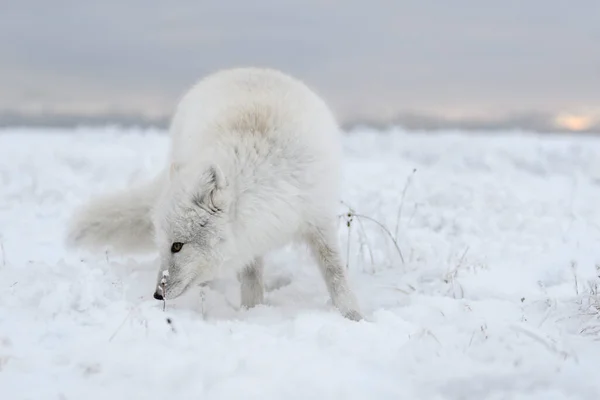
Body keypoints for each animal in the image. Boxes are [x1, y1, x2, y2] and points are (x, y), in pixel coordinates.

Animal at [68, 67, 364, 320]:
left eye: (177, 246)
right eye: (164, 245)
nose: (156, 295)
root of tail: (242, 68)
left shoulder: (316, 218)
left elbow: (335, 273)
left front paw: (353, 317)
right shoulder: (250, 240)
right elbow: (251, 281)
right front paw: (252, 313)